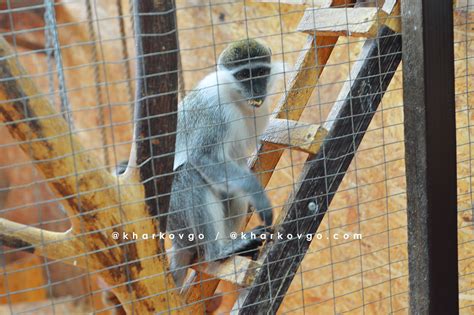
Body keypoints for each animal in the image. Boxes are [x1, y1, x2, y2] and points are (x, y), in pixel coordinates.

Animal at [168, 39, 284, 286]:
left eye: (260, 72)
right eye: (243, 75)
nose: (257, 90)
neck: (236, 98)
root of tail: (177, 241)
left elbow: (238, 164)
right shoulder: (216, 112)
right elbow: (201, 157)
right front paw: (257, 192)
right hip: (176, 220)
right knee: (188, 174)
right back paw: (219, 251)